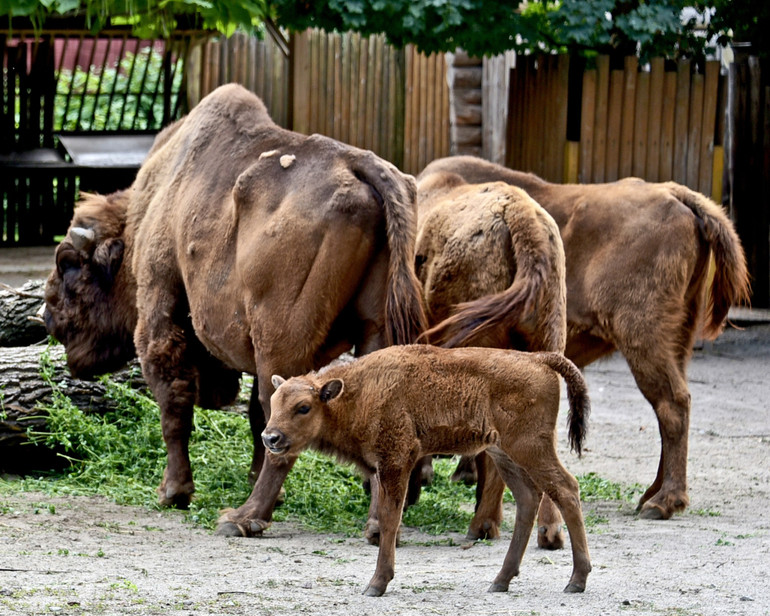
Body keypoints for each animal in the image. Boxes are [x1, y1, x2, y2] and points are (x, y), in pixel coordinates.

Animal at [43, 84, 426, 536]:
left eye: (69, 265)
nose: (48, 316)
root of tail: (359, 164)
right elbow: (256, 417)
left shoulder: (159, 311)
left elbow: (175, 403)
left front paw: (173, 492)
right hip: (373, 330)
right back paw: (377, 524)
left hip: (280, 341)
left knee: (284, 423)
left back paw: (243, 518)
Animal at [260, 344, 592, 596]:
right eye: (275, 402)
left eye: (303, 407)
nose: (270, 437)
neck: (359, 391)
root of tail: (538, 358)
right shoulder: (384, 467)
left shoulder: (396, 461)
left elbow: (390, 518)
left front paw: (376, 584)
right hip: (504, 453)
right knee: (528, 498)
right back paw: (501, 581)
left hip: (530, 448)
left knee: (566, 489)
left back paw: (576, 581)